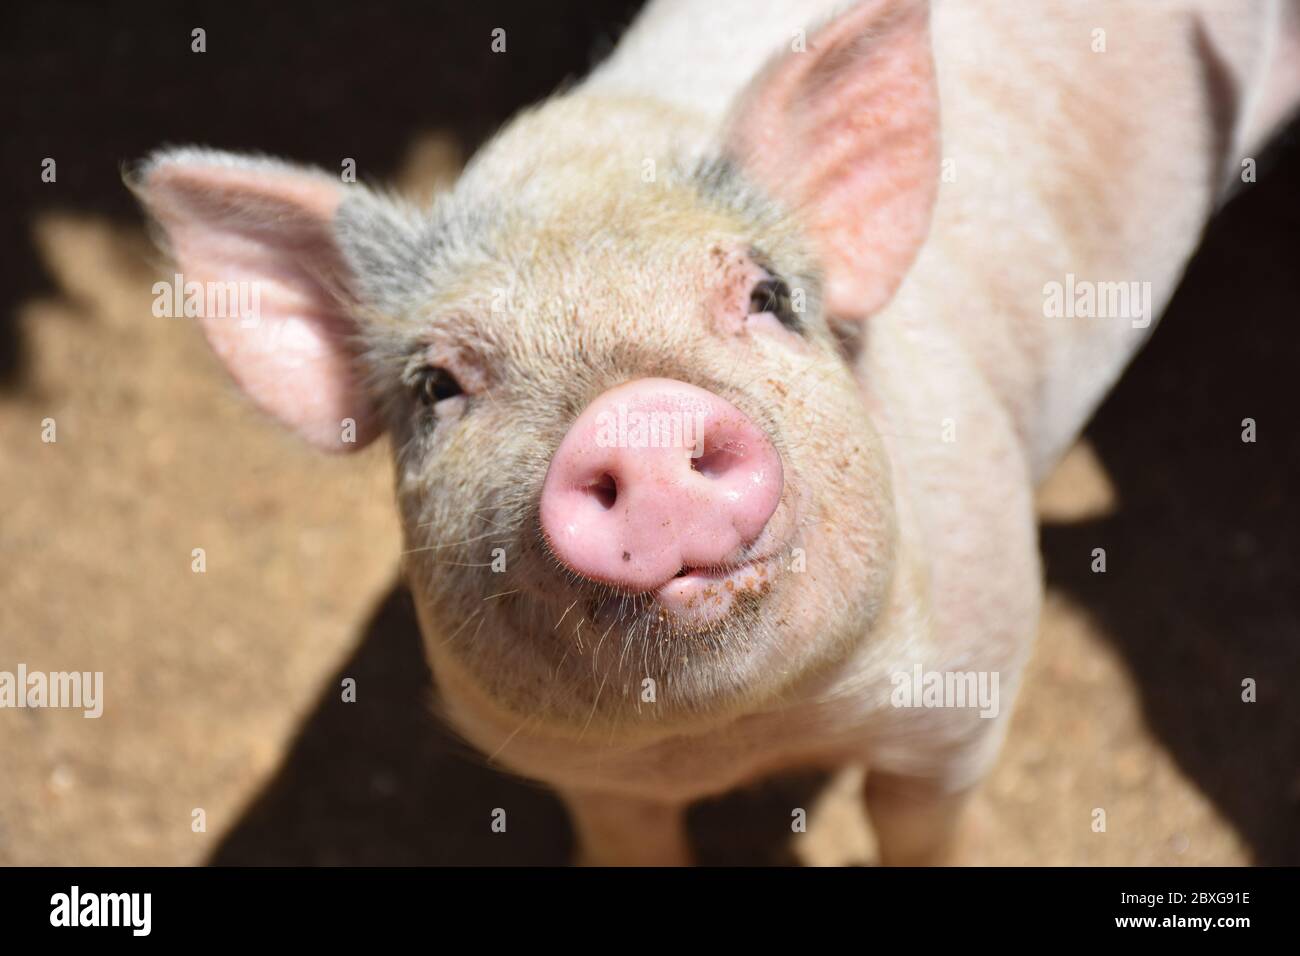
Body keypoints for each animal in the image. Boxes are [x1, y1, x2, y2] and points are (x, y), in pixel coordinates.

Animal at [128, 0, 1300, 865]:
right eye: (434, 385)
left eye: (770, 296)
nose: (635, 415)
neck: (740, 738)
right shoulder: (579, 769)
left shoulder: (969, 693)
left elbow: (921, 829)